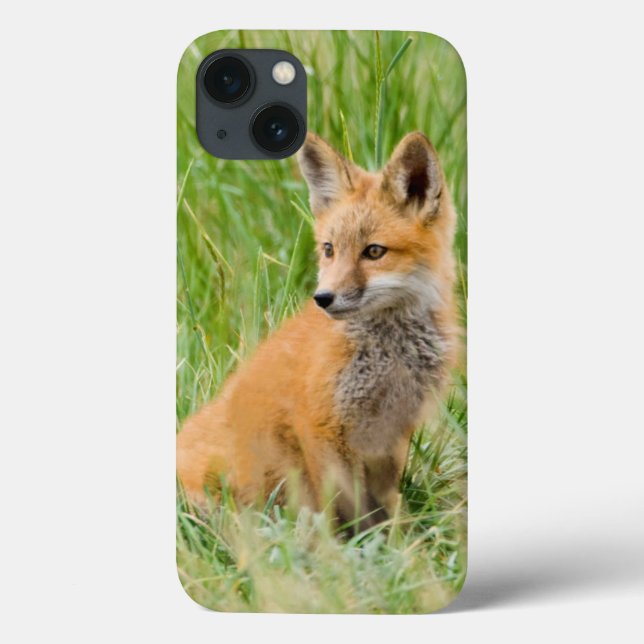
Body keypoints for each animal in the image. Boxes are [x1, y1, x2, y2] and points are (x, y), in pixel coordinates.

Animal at [176, 131, 459, 529]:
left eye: (374, 252)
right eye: (329, 249)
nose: (323, 298)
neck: (389, 356)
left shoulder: (392, 432)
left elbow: (386, 507)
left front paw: (397, 540)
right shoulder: (319, 425)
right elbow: (344, 508)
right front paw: (352, 544)